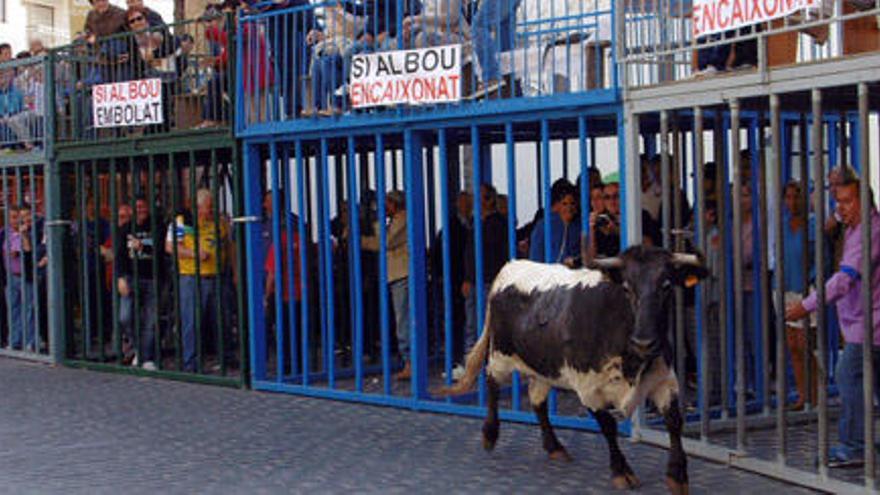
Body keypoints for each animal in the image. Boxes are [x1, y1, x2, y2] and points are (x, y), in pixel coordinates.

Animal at [446, 248, 708, 495]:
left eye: (666, 285)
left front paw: (677, 476)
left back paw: (554, 446)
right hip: (500, 354)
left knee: (537, 400)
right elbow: (608, 426)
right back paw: (490, 434)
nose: (644, 342)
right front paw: (621, 471)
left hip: (544, 367)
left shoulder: (665, 379)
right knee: (491, 381)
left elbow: (674, 422)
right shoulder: (588, 388)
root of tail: (511, 267)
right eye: (626, 287)